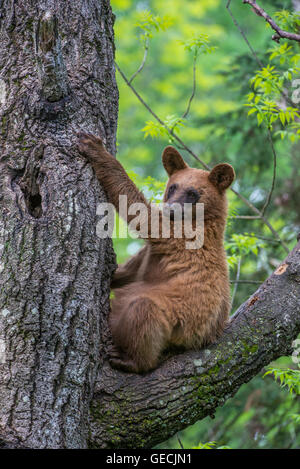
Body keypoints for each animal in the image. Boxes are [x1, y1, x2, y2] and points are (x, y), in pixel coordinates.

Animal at [77, 132, 234, 372]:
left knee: (142, 311)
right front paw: (113, 273)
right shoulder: (151, 255)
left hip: (179, 322)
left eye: (192, 193)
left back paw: (130, 359)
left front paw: (96, 149)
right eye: (173, 187)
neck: (204, 221)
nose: (171, 210)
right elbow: (130, 271)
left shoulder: (180, 237)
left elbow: (143, 215)